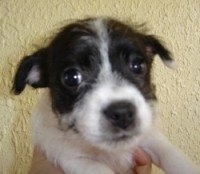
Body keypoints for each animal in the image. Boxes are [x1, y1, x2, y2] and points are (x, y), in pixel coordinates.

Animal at [12, 18, 200, 174]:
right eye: (71, 77)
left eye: (138, 66)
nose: (122, 113)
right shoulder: (72, 158)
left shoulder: (149, 137)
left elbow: (172, 155)